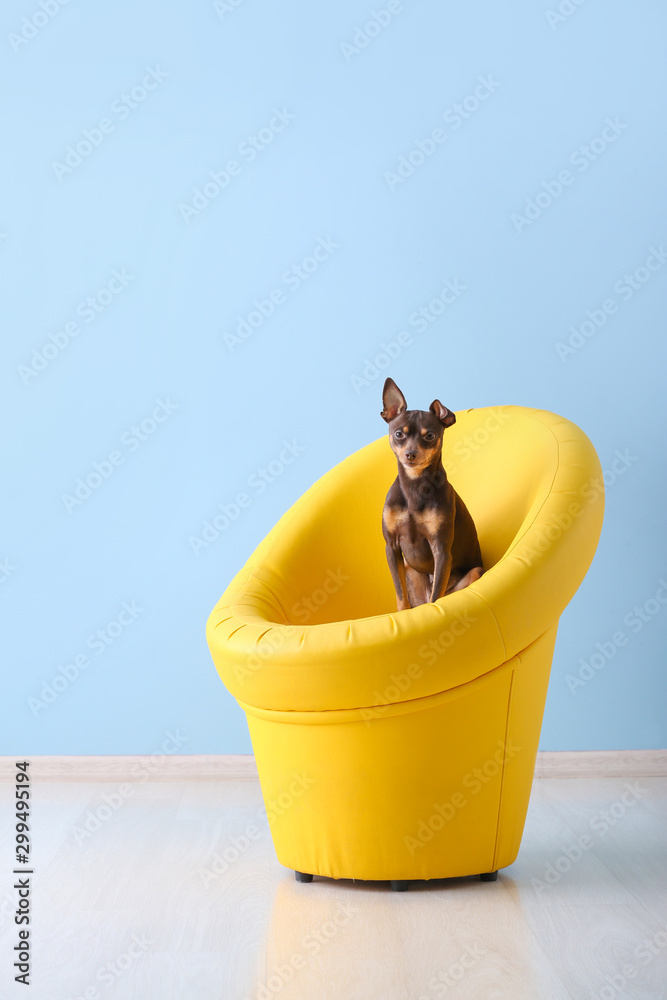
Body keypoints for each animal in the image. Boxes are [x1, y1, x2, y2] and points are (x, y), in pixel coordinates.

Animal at [380, 376, 486, 608]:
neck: (414, 486)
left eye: (429, 436)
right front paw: (402, 614)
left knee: (437, 595)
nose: (411, 454)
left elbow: (436, 597)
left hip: (474, 572)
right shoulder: (391, 547)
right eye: (399, 434)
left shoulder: (441, 550)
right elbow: (400, 596)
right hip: (409, 569)